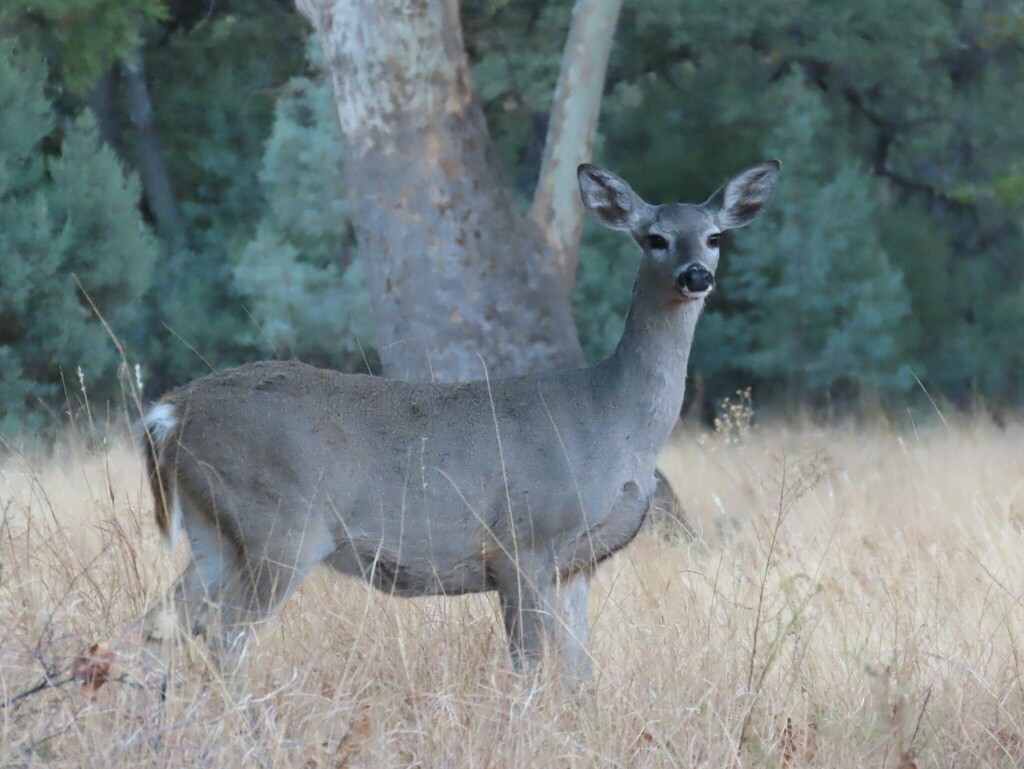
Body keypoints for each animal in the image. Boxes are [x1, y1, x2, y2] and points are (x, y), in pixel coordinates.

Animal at [140, 159, 778, 684]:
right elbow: (530, 669)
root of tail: (171, 411)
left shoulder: (578, 566)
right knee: (226, 634)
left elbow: (580, 675)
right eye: (655, 239)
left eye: (714, 236)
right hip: (280, 525)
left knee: (160, 622)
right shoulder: (523, 543)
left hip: (214, 531)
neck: (613, 421)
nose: (696, 275)